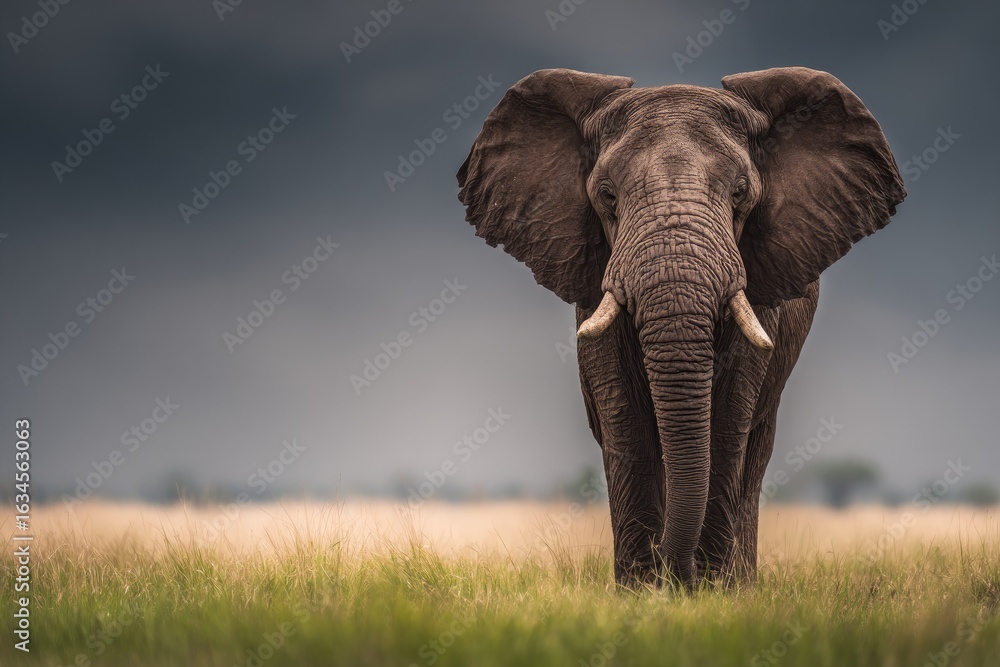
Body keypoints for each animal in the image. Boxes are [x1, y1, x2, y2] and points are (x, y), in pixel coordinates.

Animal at [456, 67, 904, 589]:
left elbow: (728, 418)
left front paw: (706, 589)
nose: (674, 572)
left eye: (740, 194)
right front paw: (641, 589)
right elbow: (625, 417)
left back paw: (739, 583)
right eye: (607, 195)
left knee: (755, 448)